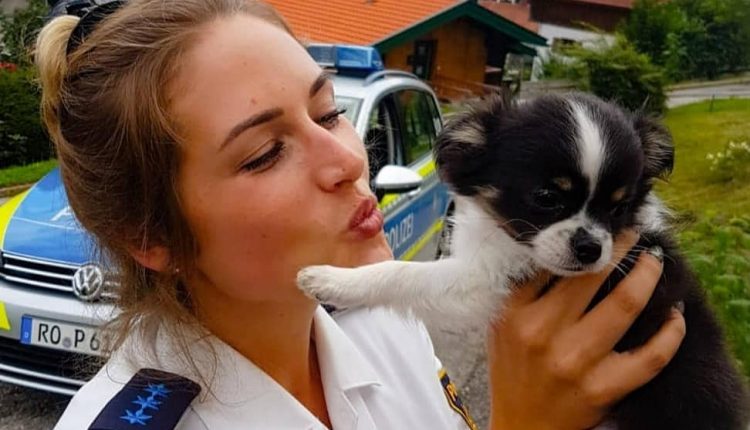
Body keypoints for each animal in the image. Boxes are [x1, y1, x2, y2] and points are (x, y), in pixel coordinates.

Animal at [296, 92, 748, 428]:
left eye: (619, 208)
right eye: (546, 198)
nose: (591, 248)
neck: (511, 240)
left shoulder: (483, 283)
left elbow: (402, 274)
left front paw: (331, 280)